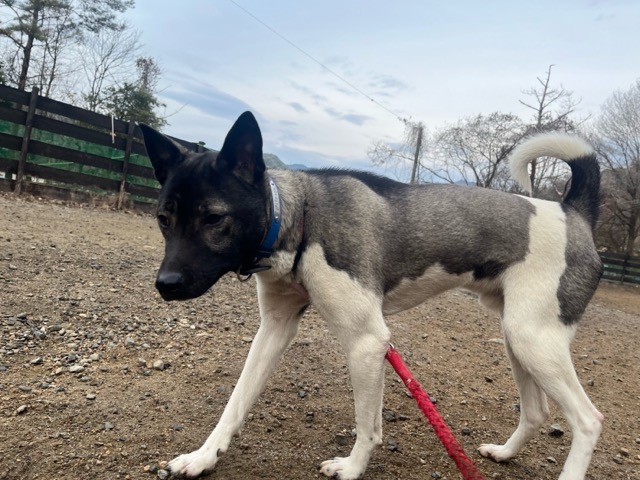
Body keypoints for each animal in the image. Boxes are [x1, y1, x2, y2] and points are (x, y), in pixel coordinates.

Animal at [139, 112, 604, 480]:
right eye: (163, 219)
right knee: (537, 411)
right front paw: (203, 457)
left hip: (534, 340)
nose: (166, 284)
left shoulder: (367, 342)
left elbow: (367, 425)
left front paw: (351, 468)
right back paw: (505, 453)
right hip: (518, 338)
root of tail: (572, 212)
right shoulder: (274, 331)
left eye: (214, 218)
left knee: (588, 420)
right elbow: (235, 403)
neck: (300, 217)